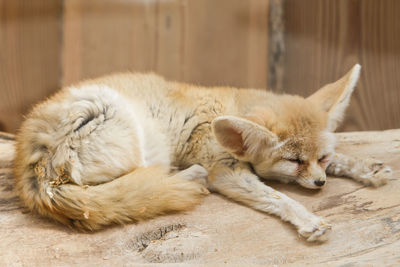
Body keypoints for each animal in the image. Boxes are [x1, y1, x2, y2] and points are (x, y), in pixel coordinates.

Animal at [14, 64, 392, 243]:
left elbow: (344, 157)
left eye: (321, 159)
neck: (227, 108)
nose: (320, 183)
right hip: (130, 130)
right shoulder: (224, 171)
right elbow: (278, 198)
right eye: (294, 161)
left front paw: (367, 167)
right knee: (130, 186)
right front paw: (306, 218)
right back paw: (184, 178)